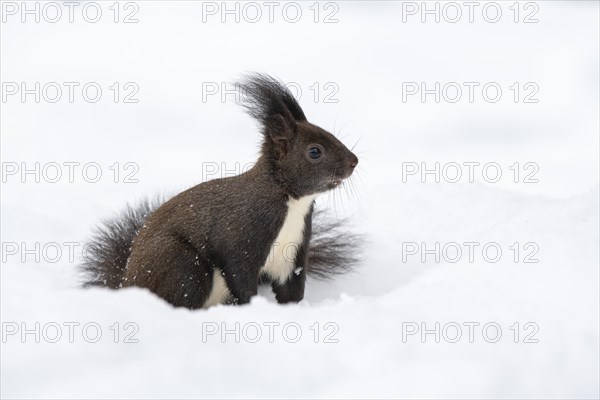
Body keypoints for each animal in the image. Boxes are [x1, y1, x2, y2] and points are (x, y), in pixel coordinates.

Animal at [79, 74, 360, 310]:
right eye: (314, 151)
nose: (354, 161)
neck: (291, 201)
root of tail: (128, 284)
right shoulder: (241, 237)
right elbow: (240, 276)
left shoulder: (293, 250)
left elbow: (291, 288)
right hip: (182, 263)